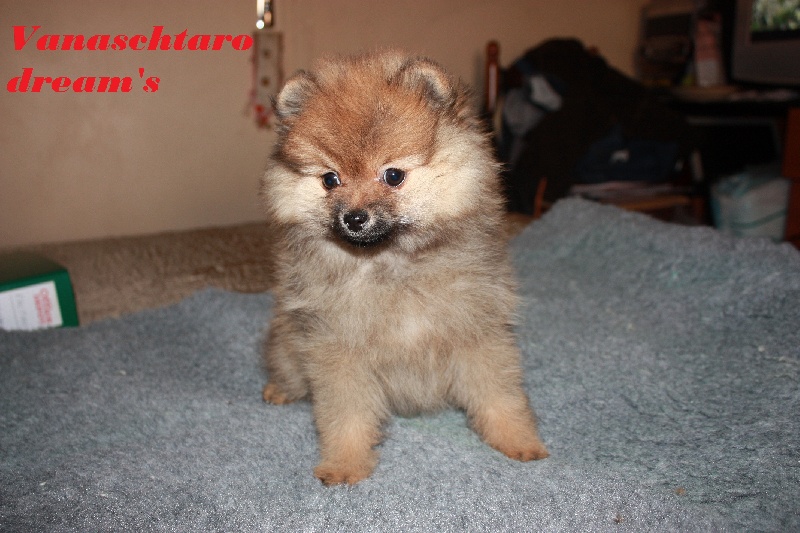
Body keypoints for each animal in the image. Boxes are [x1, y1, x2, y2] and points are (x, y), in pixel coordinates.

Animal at [260, 50, 548, 485]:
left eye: (392, 175)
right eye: (330, 179)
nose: (354, 218)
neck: (392, 266)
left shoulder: (477, 330)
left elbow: (498, 393)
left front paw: (518, 440)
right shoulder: (338, 347)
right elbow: (344, 414)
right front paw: (344, 463)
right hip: (289, 338)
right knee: (288, 366)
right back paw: (280, 389)